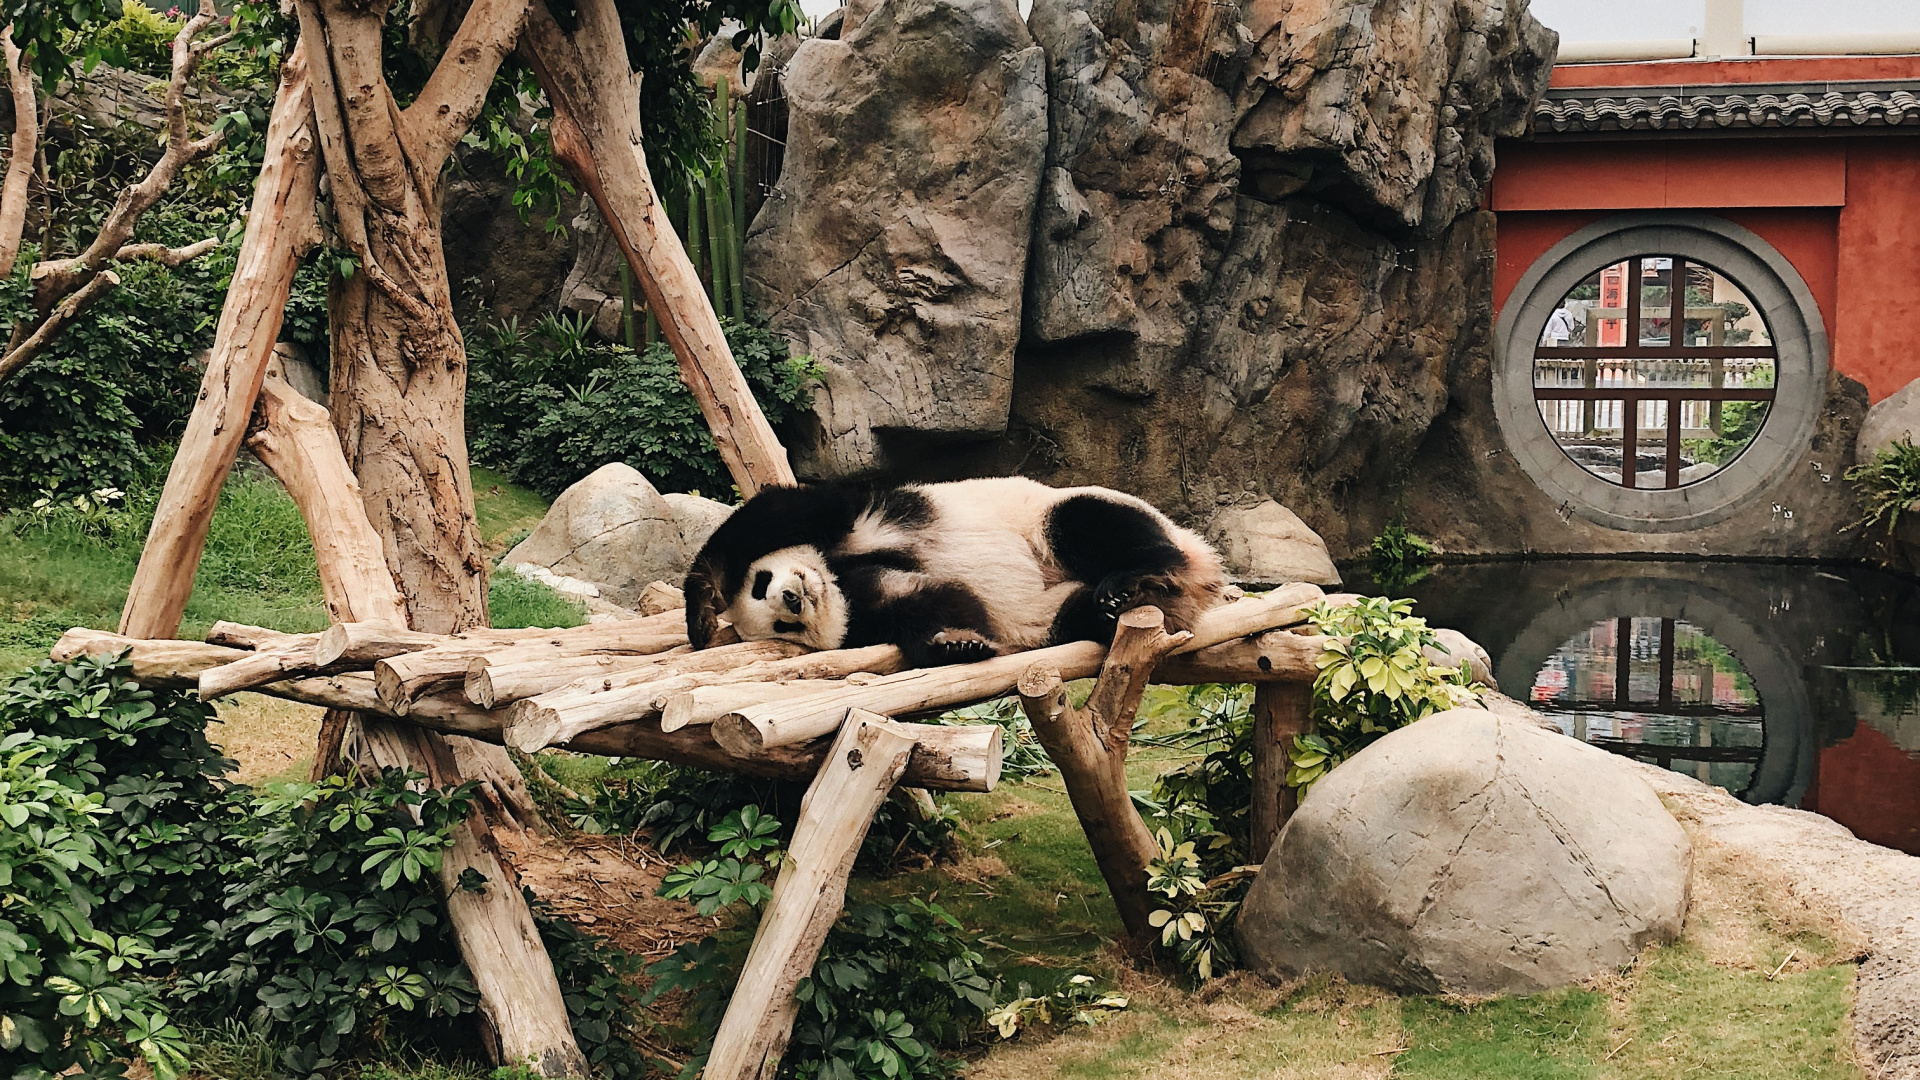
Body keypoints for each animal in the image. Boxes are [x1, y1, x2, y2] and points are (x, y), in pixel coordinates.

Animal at [683, 477, 1228, 667]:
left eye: (762, 584)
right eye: (782, 627)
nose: (793, 599)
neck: (835, 578)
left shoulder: (859, 519)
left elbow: (775, 514)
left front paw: (703, 610)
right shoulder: (865, 608)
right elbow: (934, 600)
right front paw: (957, 644)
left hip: (1048, 513)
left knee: (1086, 522)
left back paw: (1135, 576)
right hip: (1057, 611)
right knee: (1076, 615)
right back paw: (1118, 607)